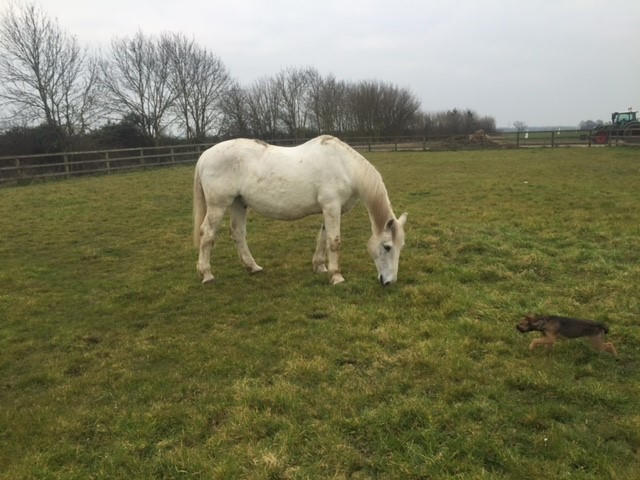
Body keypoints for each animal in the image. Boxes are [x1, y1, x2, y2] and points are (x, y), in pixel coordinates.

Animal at [193, 135, 407, 286]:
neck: (345, 166)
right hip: (218, 205)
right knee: (207, 234)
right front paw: (336, 276)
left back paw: (253, 267)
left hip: (238, 203)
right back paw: (207, 274)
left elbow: (322, 238)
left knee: (237, 233)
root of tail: (204, 156)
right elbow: (334, 242)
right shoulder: (331, 207)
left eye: (400, 247)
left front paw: (320, 266)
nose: (389, 282)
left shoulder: (329, 210)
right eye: (387, 247)